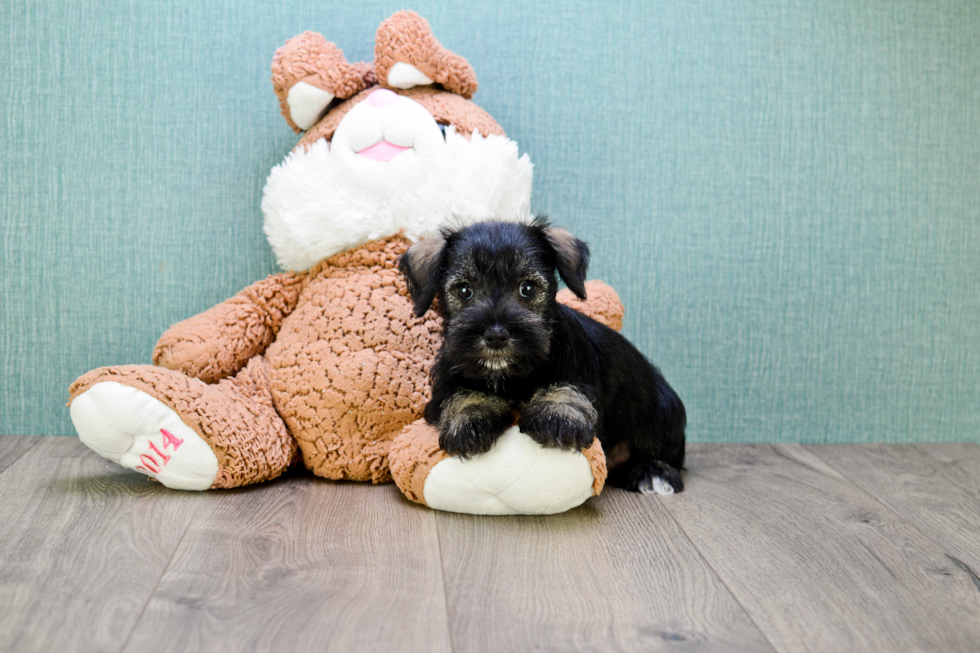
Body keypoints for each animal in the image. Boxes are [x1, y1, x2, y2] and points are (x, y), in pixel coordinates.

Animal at [398, 216, 688, 492]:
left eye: (527, 288)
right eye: (464, 290)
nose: (496, 335)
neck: (511, 375)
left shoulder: (579, 374)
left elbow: (566, 386)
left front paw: (557, 414)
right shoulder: (446, 381)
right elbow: (462, 393)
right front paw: (470, 419)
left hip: (661, 411)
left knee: (662, 451)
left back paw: (654, 473)